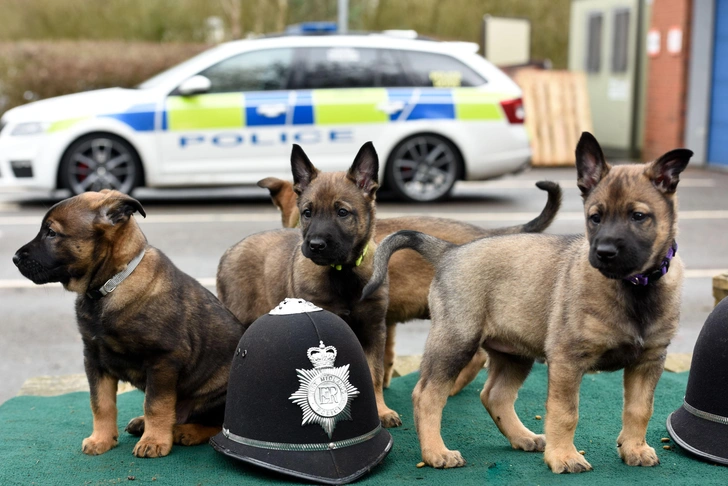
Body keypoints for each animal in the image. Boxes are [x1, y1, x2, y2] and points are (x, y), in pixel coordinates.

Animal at [12, 191, 245, 460]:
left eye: (51, 233)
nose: (14, 258)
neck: (111, 285)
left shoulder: (163, 359)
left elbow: (156, 404)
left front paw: (154, 441)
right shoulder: (94, 359)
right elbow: (101, 404)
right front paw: (102, 440)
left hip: (218, 395)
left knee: (217, 425)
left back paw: (184, 432)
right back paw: (145, 424)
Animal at [258, 173, 560, 390]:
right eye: (306, 213)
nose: (313, 245)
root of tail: (485, 234)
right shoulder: (385, 321)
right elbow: (385, 357)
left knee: (477, 357)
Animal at [364, 131, 692, 472]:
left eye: (638, 216)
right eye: (595, 218)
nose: (603, 253)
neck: (635, 289)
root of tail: (449, 251)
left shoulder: (648, 360)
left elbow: (640, 409)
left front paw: (634, 448)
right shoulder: (568, 360)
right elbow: (565, 412)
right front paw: (564, 456)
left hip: (513, 352)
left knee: (495, 395)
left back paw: (523, 437)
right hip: (455, 341)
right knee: (427, 394)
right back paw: (435, 452)